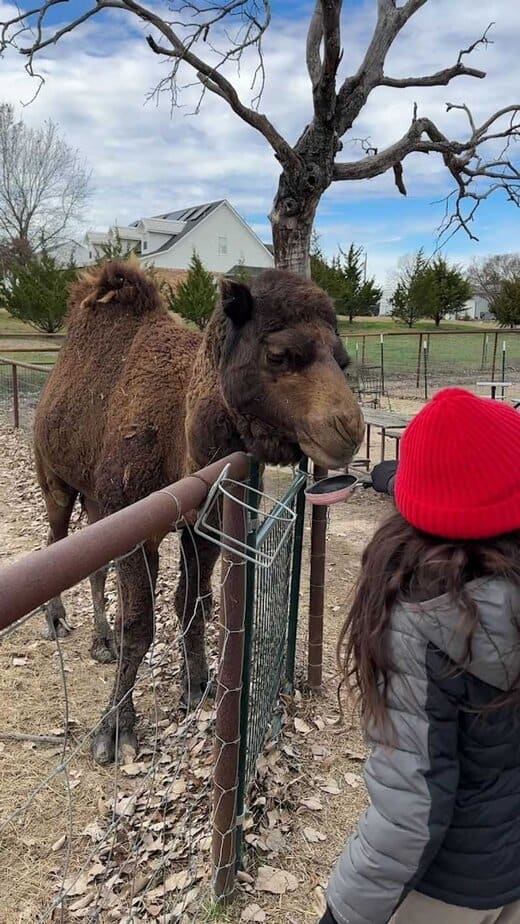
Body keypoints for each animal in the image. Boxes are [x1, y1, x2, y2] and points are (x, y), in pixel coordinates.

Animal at [33, 260, 364, 764]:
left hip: (96, 500)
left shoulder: (201, 526)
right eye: (280, 354)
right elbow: (139, 626)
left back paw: (100, 640)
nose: (349, 428)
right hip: (56, 476)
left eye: (342, 360)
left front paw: (198, 685)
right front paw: (115, 730)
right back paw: (56, 621)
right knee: (55, 539)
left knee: (93, 562)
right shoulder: (135, 524)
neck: (182, 440)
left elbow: (188, 603)